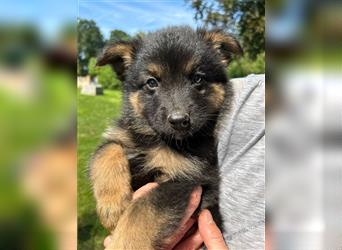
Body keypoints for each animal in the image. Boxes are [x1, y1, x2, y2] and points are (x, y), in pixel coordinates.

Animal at [89, 26, 242, 249]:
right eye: (151, 82)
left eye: (198, 78)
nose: (179, 120)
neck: (157, 139)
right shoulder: (122, 136)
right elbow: (106, 150)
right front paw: (112, 206)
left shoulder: (185, 179)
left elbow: (141, 210)